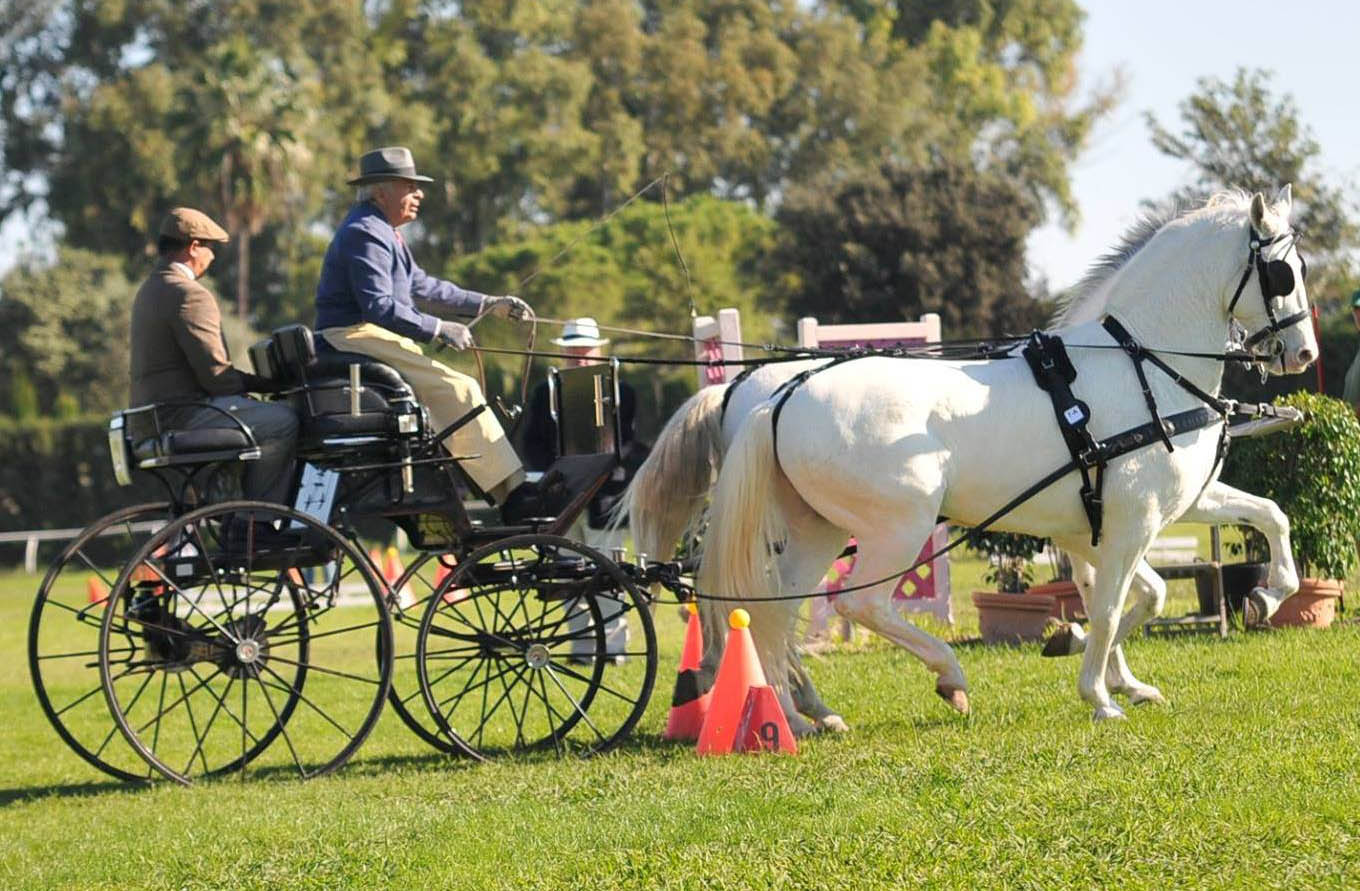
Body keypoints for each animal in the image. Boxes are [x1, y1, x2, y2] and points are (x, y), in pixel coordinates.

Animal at [696, 190, 1311, 723]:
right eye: (1281, 272)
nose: (1303, 353)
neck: (1143, 364)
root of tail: (780, 396)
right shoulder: (1134, 521)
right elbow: (1112, 607)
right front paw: (1099, 695)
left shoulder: (1166, 507)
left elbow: (1261, 523)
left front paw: (1265, 596)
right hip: (898, 528)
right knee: (860, 605)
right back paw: (947, 677)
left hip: (818, 530)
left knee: (775, 607)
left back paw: (796, 714)